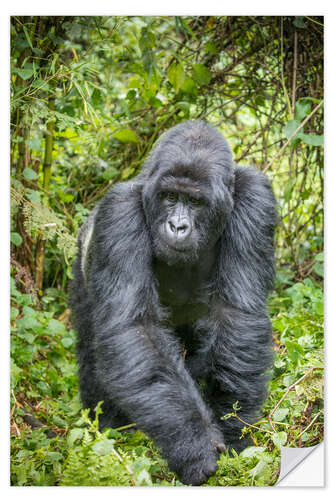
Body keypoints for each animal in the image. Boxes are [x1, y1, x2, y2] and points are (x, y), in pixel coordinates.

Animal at [70, 120, 274, 484]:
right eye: (169, 197)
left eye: (194, 201)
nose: (177, 226)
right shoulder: (119, 212)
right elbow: (135, 330)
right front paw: (194, 446)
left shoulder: (256, 198)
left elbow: (236, 314)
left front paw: (233, 428)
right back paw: (108, 424)